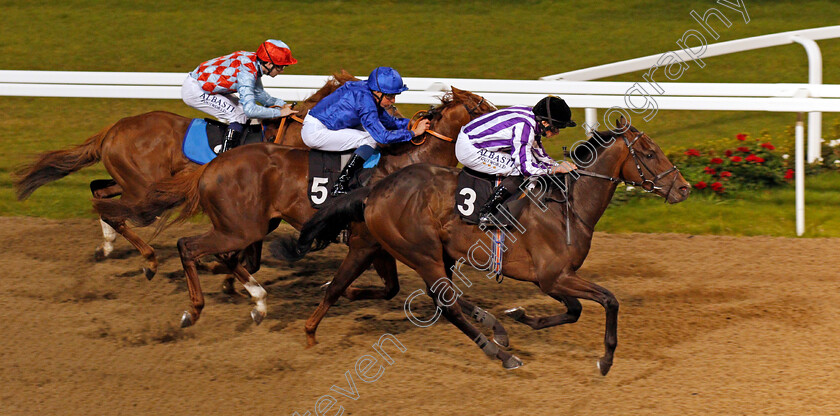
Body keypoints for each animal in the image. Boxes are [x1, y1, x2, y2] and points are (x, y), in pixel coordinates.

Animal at [13, 70, 360, 280]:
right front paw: (221, 266)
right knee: (120, 210)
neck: (295, 134)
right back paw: (148, 259)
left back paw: (108, 246)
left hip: (135, 182)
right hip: (143, 188)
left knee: (99, 192)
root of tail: (112, 130)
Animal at [92, 88, 498, 332]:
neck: (407, 163)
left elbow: (390, 288)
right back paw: (196, 304)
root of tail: (211, 166)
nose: (514, 119)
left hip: (249, 223)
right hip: (240, 226)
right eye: (484, 107)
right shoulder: (366, 241)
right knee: (188, 246)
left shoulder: (379, 245)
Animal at [280, 117, 688, 374]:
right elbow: (609, 300)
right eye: (649, 153)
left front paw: (521, 316)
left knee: (442, 296)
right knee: (445, 303)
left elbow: (573, 311)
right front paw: (605, 360)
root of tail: (376, 189)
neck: (567, 206)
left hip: (435, 252)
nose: (683, 188)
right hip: (420, 251)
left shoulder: (551, 279)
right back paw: (500, 354)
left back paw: (498, 330)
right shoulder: (554, 277)